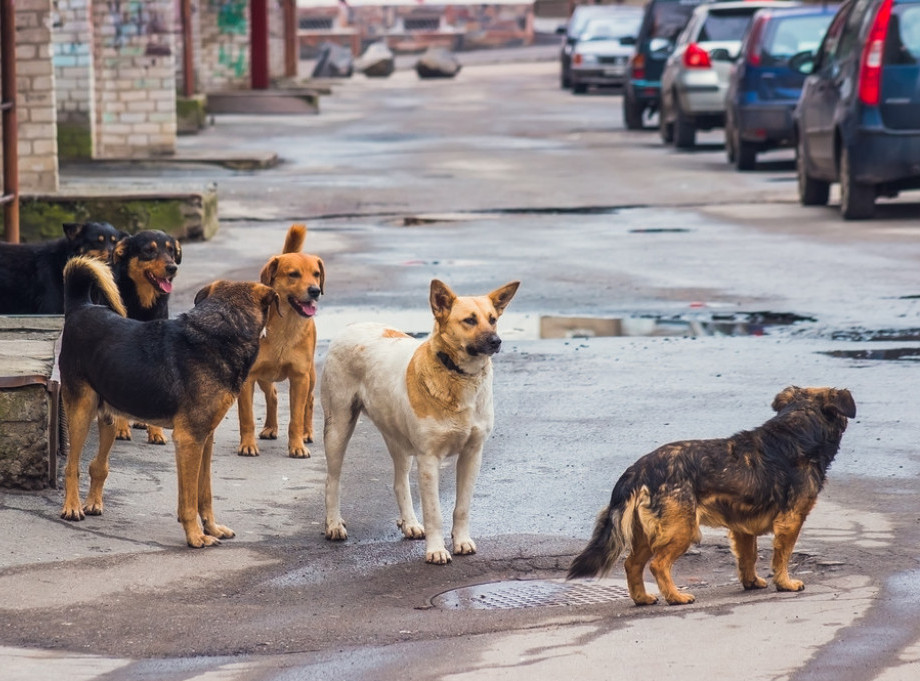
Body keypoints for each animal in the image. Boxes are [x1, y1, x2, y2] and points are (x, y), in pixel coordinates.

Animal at [58, 255, 278, 548]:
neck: (222, 330)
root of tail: (81, 307)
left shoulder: (205, 439)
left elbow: (204, 493)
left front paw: (212, 528)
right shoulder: (189, 440)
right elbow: (188, 500)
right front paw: (195, 536)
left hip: (109, 417)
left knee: (97, 465)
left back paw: (92, 503)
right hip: (81, 411)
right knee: (72, 466)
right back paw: (72, 507)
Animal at [109, 228, 181, 444]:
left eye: (171, 251)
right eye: (149, 250)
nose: (172, 267)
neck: (142, 304)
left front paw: (156, 432)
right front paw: (121, 429)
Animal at [237, 223, 324, 456]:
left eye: (316, 274)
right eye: (293, 274)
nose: (315, 290)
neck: (285, 327)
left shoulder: (300, 378)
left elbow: (296, 418)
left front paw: (297, 446)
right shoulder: (248, 378)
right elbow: (247, 417)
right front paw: (247, 445)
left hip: (310, 376)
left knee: (309, 401)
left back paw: (307, 432)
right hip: (264, 376)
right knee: (273, 395)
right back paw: (270, 427)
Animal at [320, 276, 516, 564]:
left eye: (493, 319)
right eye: (469, 320)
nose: (496, 341)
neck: (457, 374)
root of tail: (352, 326)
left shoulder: (472, 454)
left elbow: (462, 507)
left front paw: (461, 541)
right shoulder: (429, 459)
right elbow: (434, 512)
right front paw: (436, 550)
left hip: (397, 438)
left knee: (399, 482)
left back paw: (410, 523)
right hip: (338, 427)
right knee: (332, 480)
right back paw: (333, 524)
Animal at [568, 386, 856, 604]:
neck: (797, 430)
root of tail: (638, 470)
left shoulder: (742, 528)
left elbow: (748, 557)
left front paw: (751, 582)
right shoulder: (791, 520)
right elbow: (782, 556)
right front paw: (784, 583)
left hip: (647, 534)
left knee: (632, 565)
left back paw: (643, 598)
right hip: (681, 529)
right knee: (658, 565)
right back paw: (675, 597)